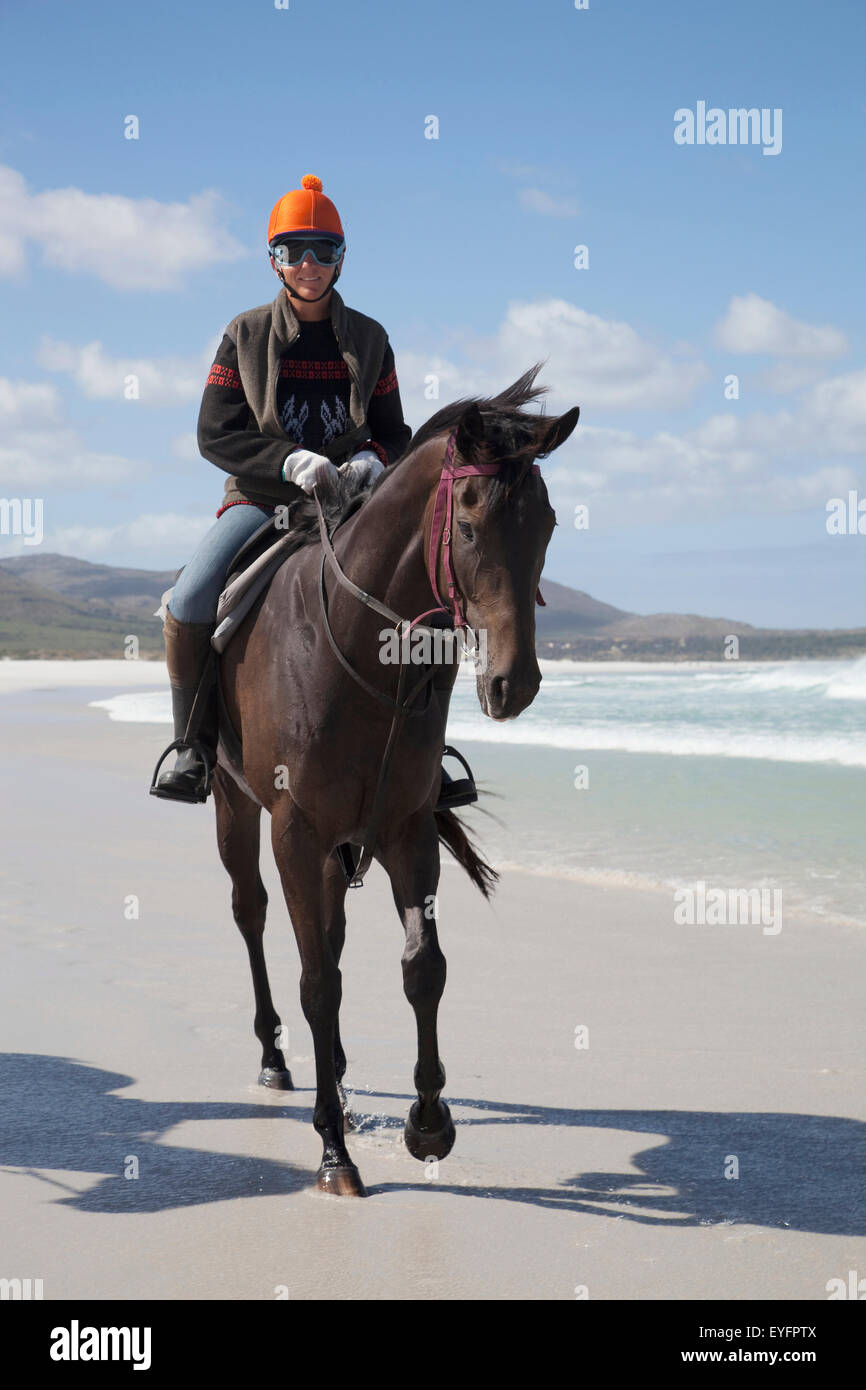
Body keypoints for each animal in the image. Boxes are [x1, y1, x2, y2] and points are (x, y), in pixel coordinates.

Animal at [213, 364, 579, 1196]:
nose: (515, 683)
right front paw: (332, 1151)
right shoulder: (294, 830)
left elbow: (423, 968)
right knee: (253, 915)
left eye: (546, 526)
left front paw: (429, 1123)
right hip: (233, 806)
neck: (353, 647)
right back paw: (277, 1058)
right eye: (469, 528)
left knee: (333, 938)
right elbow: (317, 981)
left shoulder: (405, 828)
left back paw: (342, 1074)